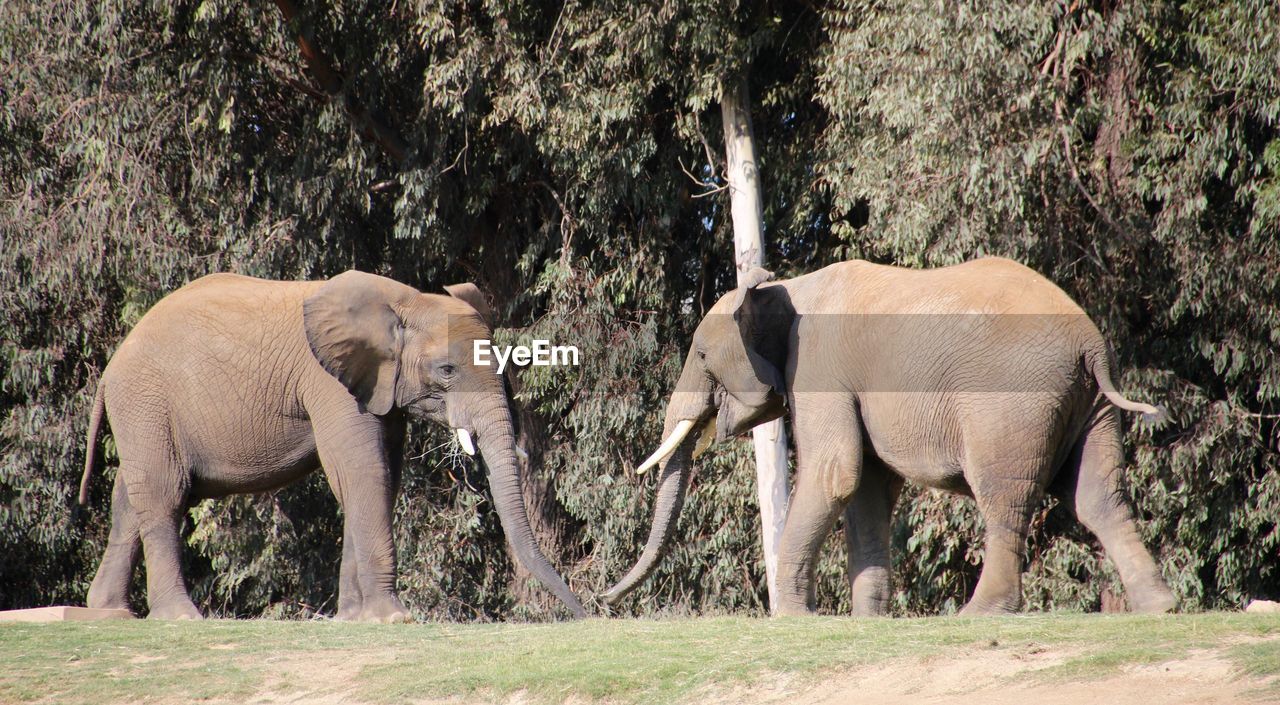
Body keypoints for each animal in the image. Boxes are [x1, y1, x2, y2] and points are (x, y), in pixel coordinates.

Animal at [81, 269, 588, 624]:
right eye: (446, 370)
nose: (587, 614)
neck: (402, 300)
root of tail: (111, 365)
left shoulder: (382, 389)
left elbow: (380, 480)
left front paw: (354, 619)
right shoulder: (329, 382)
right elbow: (363, 473)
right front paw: (393, 619)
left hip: (146, 413)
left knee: (129, 499)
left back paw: (108, 612)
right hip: (146, 402)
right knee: (164, 496)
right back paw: (182, 618)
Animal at [604, 259, 1172, 619]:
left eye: (701, 355)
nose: (603, 600)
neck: (786, 285)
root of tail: (1091, 342)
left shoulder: (819, 367)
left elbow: (835, 472)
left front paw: (792, 619)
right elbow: (866, 488)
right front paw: (866, 620)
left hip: (1014, 401)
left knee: (1004, 496)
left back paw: (979, 614)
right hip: (1090, 404)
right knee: (1097, 496)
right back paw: (1159, 608)